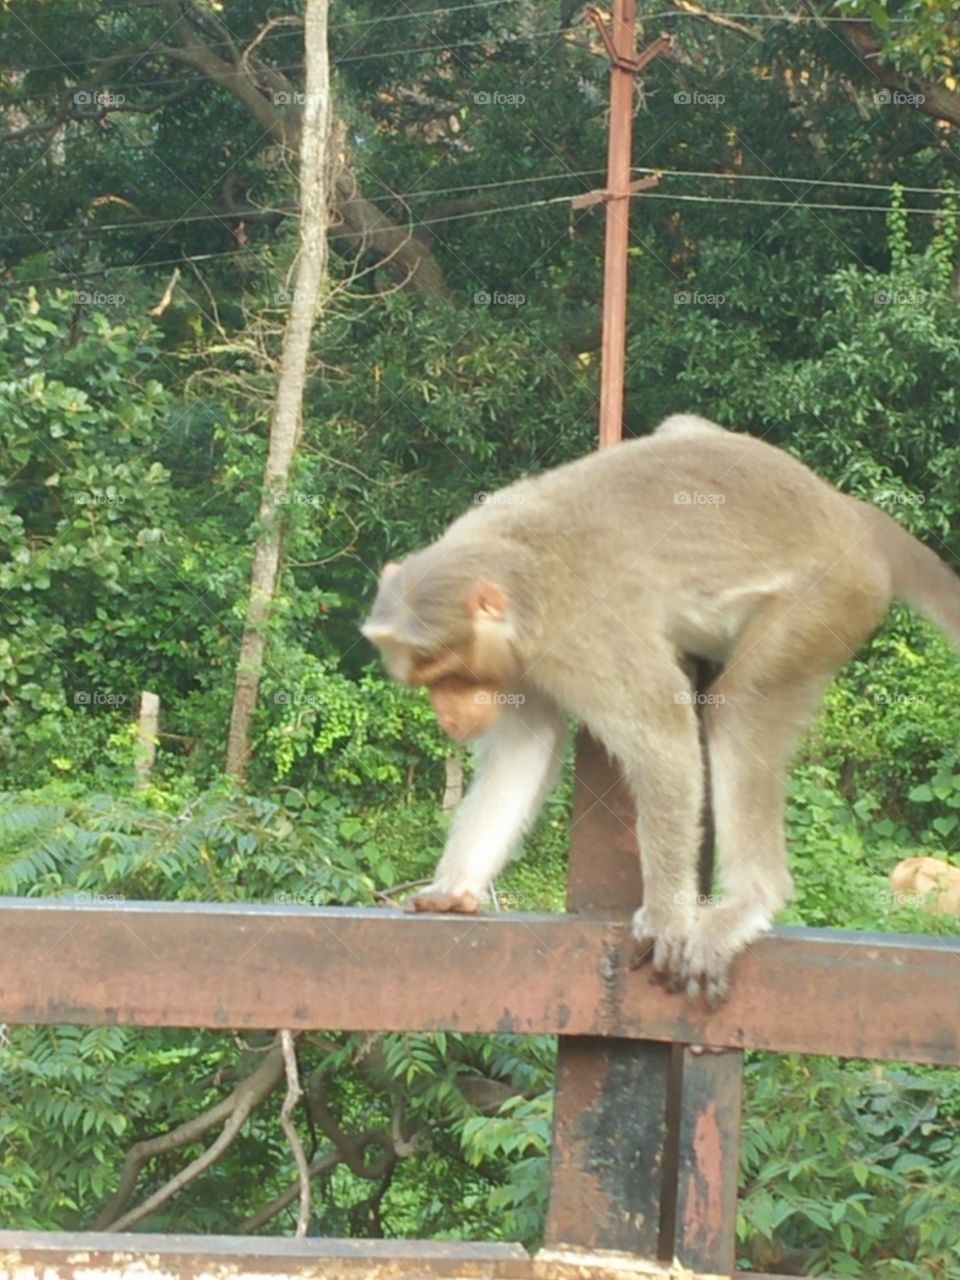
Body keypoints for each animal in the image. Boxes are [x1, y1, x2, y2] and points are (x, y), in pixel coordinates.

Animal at [362, 414, 960, 1002]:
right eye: (428, 682)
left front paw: (669, 916)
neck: (518, 579)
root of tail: (848, 513)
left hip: (826, 600)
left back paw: (751, 898)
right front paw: (453, 887)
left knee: (739, 710)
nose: (449, 717)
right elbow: (527, 744)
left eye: (450, 676)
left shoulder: (580, 632)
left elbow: (663, 736)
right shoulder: (517, 659)